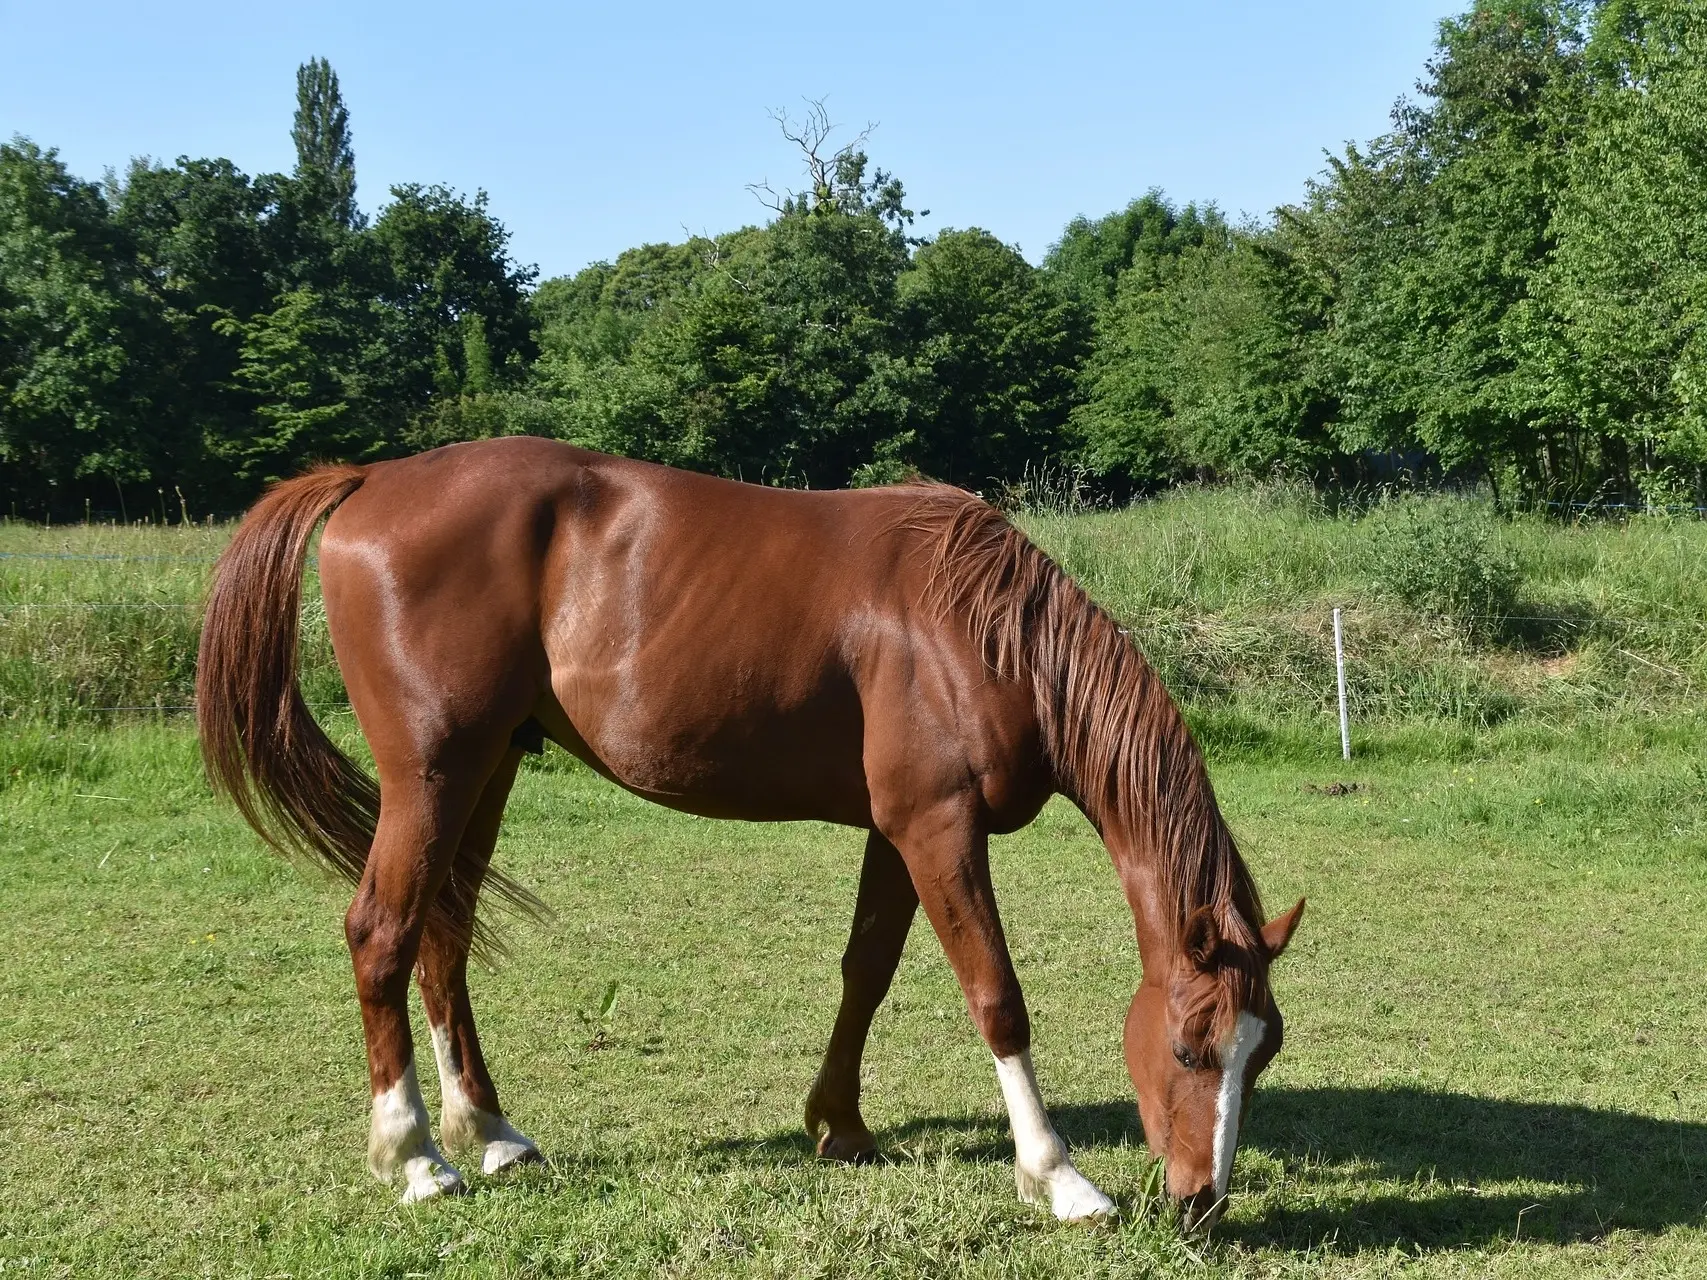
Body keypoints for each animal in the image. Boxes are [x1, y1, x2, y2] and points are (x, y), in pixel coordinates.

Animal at [193, 440, 1297, 1235]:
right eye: (1191, 1048)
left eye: (1263, 1054)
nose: (1199, 1203)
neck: (975, 629)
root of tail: (372, 479)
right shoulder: (937, 824)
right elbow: (996, 997)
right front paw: (1057, 1176)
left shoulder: (895, 833)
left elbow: (866, 971)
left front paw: (839, 1124)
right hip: (430, 775)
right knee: (381, 931)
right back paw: (416, 1155)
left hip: (489, 768)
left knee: (445, 933)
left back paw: (491, 1130)